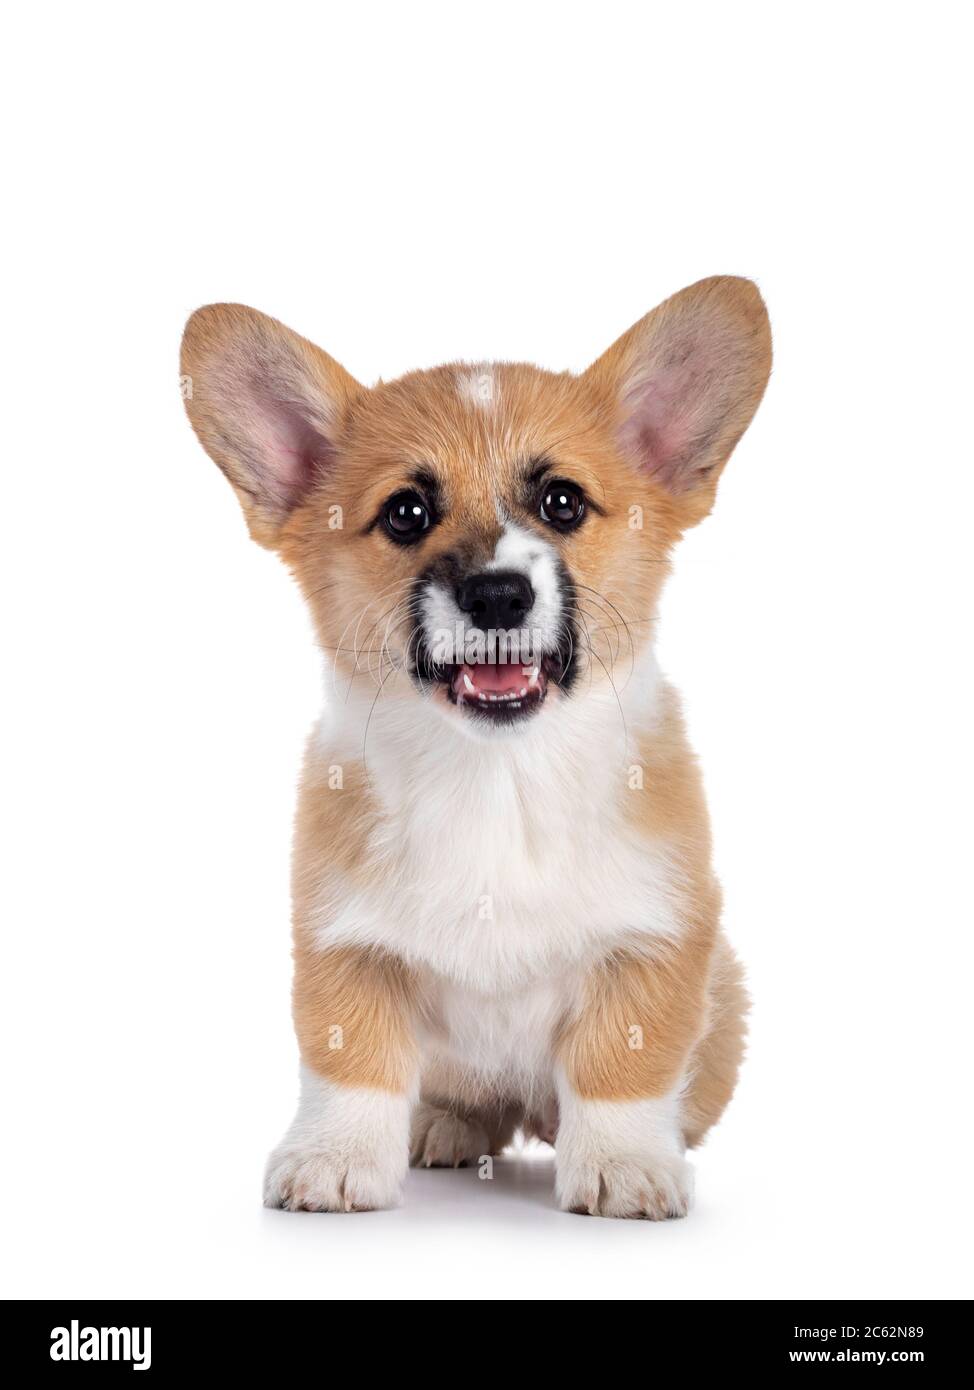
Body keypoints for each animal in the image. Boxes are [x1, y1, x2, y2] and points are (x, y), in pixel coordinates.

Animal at [182, 273, 772, 1217]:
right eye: (406, 512)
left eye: (563, 501)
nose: (498, 595)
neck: (499, 779)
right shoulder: (343, 941)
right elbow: (349, 1057)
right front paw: (335, 1158)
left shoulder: (656, 936)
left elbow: (625, 1057)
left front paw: (625, 1164)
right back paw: (443, 1127)